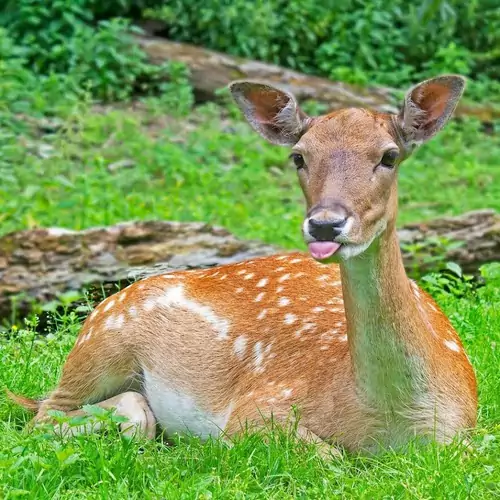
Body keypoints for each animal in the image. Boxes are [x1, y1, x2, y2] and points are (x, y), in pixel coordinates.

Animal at [7, 75, 476, 458]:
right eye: (299, 157)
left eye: (390, 156)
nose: (325, 224)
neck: (392, 421)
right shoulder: (255, 410)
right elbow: (330, 457)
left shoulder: (465, 435)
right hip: (100, 346)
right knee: (47, 416)